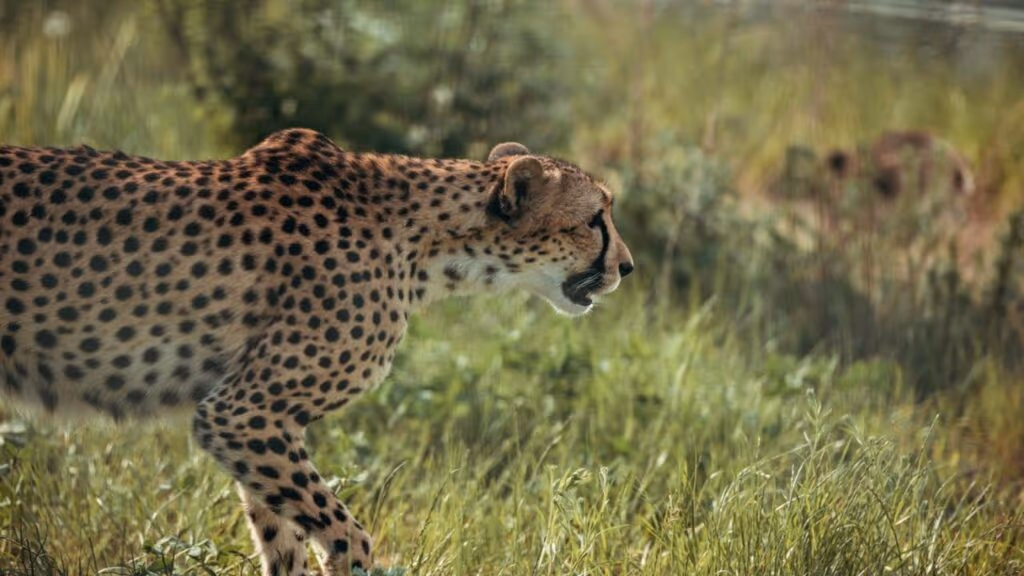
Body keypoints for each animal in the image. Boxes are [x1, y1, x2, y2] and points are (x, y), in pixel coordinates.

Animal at [0, 129, 634, 575]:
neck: (428, 247)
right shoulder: (242, 413)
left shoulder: (256, 420)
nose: (626, 267)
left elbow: (282, 537)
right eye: (593, 219)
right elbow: (346, 534)